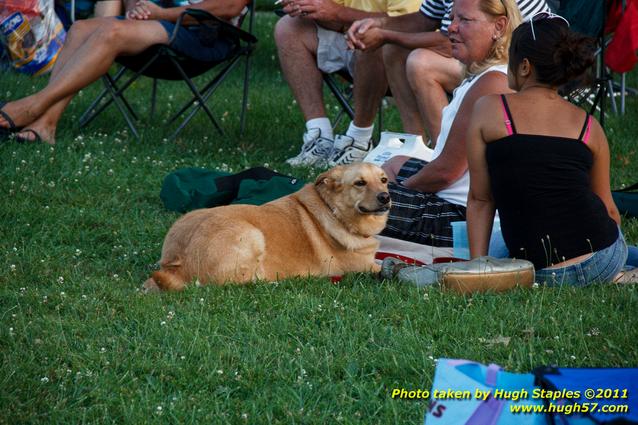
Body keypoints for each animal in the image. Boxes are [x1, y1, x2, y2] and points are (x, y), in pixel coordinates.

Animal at [145, 161, 392, 290]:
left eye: (384, 180)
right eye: (359, 183)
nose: (386, 197)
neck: (335, 211)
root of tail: (177, 265)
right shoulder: (364, 266)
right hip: (252, 235)